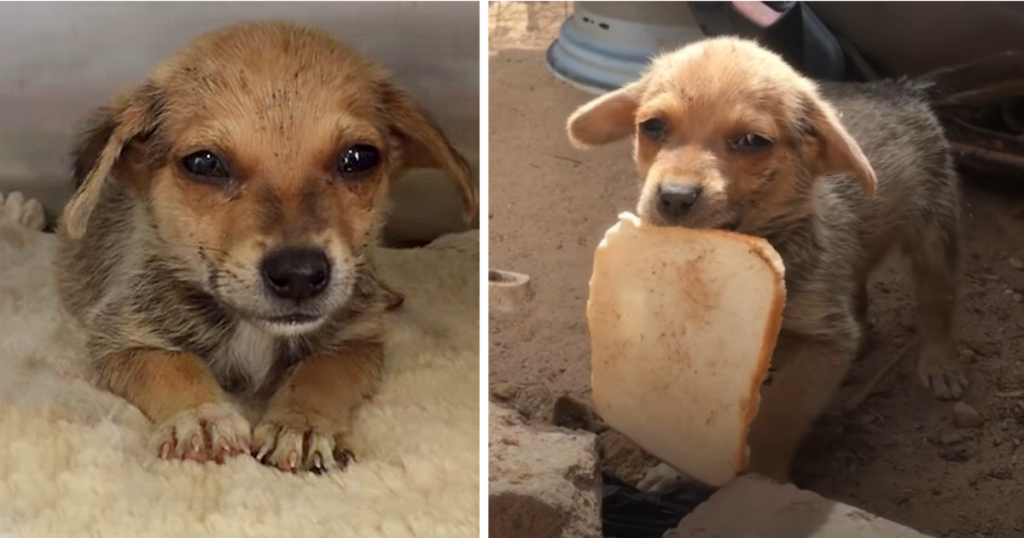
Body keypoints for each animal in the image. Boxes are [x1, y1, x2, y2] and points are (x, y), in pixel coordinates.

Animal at [51, 23, 475, 471]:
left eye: (360, 158)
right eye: (204, 163)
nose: (299, 274)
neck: (253, 330)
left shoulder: (357, 341)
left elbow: (320, 372)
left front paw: (301, 423)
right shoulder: (123, 337)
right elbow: (175, 365)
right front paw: (203, 417)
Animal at [569, 37, 958, 481]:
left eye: (752, 141)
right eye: (652, 126)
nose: (674, 197)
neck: (770, 240)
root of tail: (899, 88)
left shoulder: (824, 342)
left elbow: (780, 414)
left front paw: (764, 477)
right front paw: (673, 470)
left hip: (935, 230)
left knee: (938, 301)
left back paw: (939, 362)